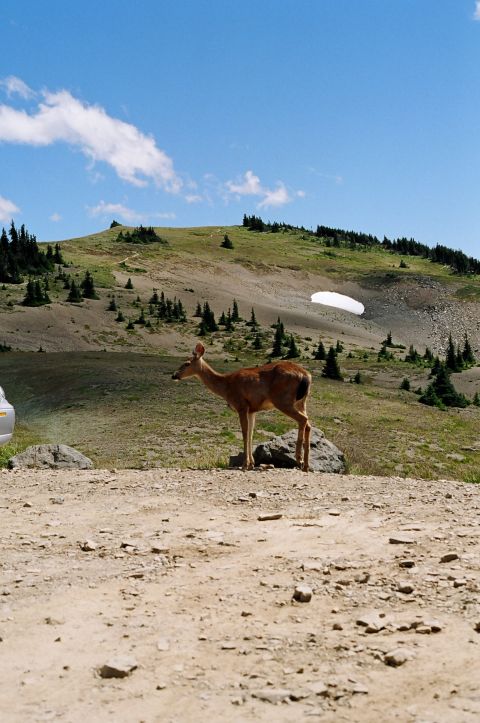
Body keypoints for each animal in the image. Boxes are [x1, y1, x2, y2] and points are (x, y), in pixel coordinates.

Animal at [172, 342, 312, 471]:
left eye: (187, 363)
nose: (174, 375)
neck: (225, 386)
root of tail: (306, 375)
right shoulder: (252, 410)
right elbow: (250, 433)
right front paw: (251, 463)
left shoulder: (241, 405)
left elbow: (245, 433)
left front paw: (245, 464)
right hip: (301, 401)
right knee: (308, 424)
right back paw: (306, 465)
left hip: (283, 400)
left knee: (303, 419)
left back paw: (299, 459)